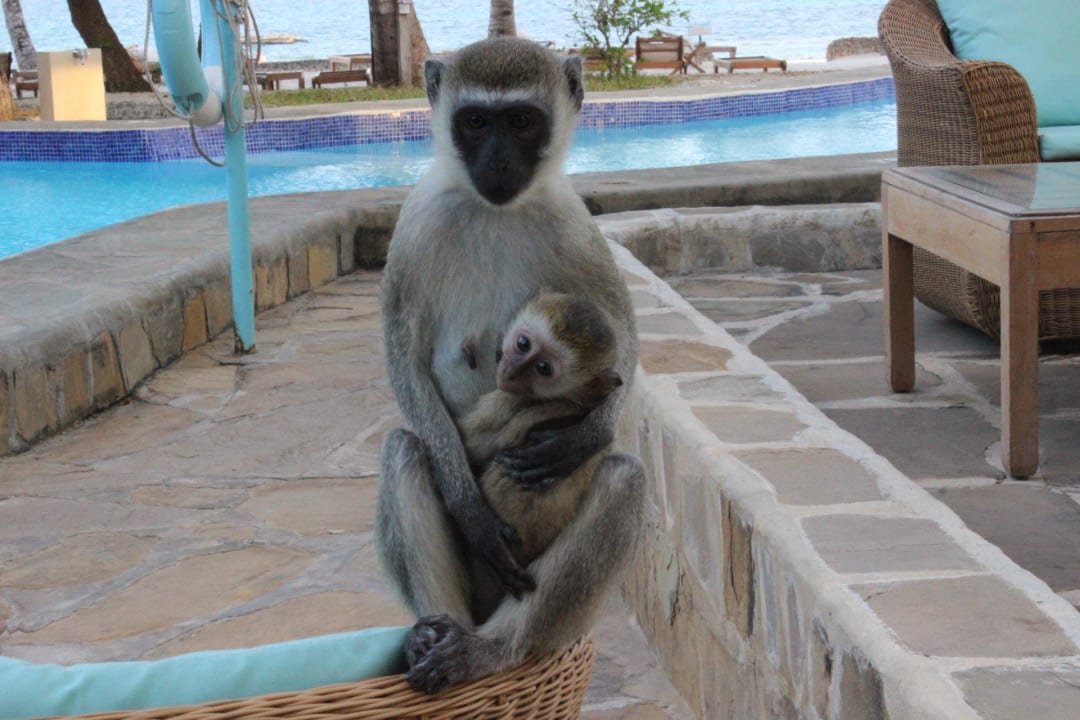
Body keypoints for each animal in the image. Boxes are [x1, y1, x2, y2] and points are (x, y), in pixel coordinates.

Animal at [376, 36, 644, 694]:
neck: (495, 207)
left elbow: (625, 340)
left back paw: (492, 651)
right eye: (476, 122)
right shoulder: (416, 222)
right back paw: (434, 635)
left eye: (521, 122)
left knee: (624, 477)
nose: (497, 163)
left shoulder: (576, 225)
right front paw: (471, 509)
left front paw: (585, 435)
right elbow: (403, 359)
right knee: (404, 448)